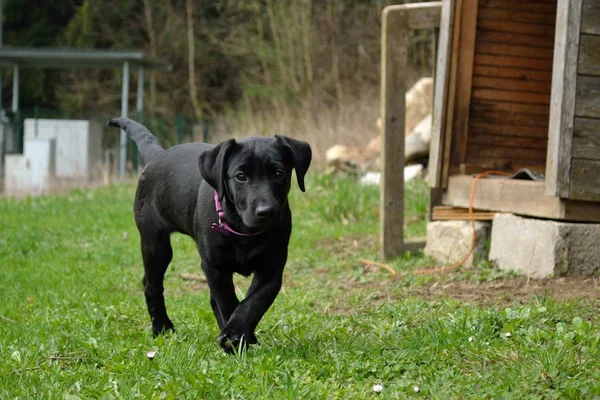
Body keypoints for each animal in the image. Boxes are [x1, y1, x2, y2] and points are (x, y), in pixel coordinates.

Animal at [108, 117, 312, 352]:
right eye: (240, 177)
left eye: (279, 173)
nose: (266, 212)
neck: (243, 231)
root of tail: (158, 155)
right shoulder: (214, 266)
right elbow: (228, 301)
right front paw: (235, 338)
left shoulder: (271, 269)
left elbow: (251, 303)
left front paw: (238, 334)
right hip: (155, 243)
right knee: (152, 286)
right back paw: (162, 327)